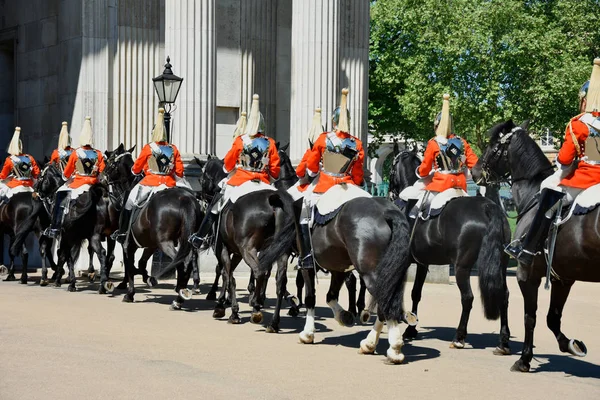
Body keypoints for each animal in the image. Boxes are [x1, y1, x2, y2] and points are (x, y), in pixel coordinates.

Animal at [394, 145, 510, 354]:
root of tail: (489, 207)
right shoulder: (422, 263)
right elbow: (416, 293)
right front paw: (411, 329)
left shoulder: (406, 260)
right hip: (500, 266)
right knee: (503, 296)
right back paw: (503, 341)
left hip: (462, 267)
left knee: (468, 298)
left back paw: (459, 337)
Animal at [474, 119, 596, 372]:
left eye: (493, 145)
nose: (475, 171)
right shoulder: (563, 278)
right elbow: (553, 318)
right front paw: (570, 344)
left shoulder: (527, 274)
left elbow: (530, 317)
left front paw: (524, 359)